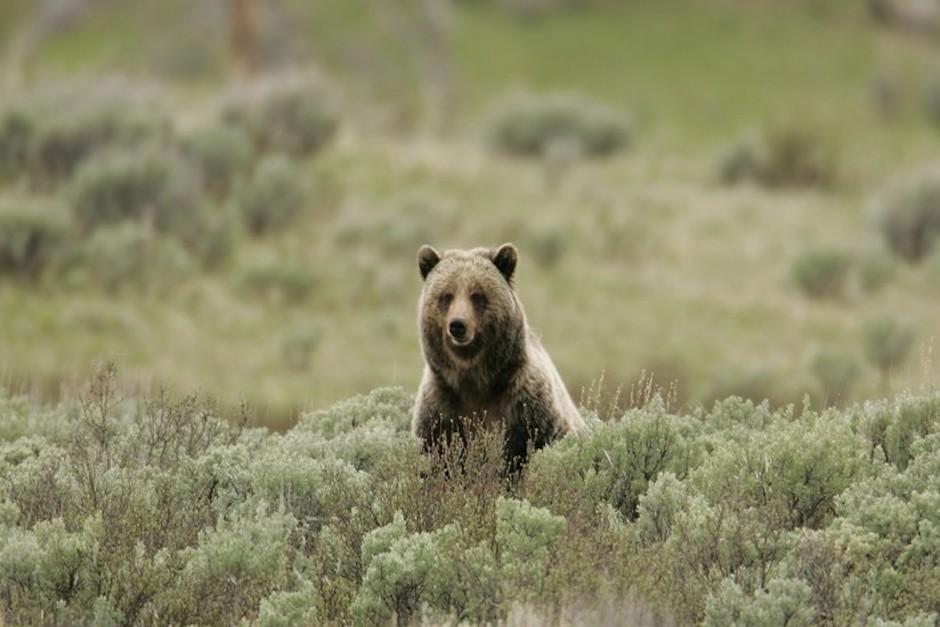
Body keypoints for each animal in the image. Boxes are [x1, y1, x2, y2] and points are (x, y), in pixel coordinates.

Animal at [411, 242, 585, 470]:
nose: (457, 325)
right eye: (446, 295)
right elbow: (437, 453)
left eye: (477, 295)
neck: (476, 379)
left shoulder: (527, 407)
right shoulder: (440, 410)